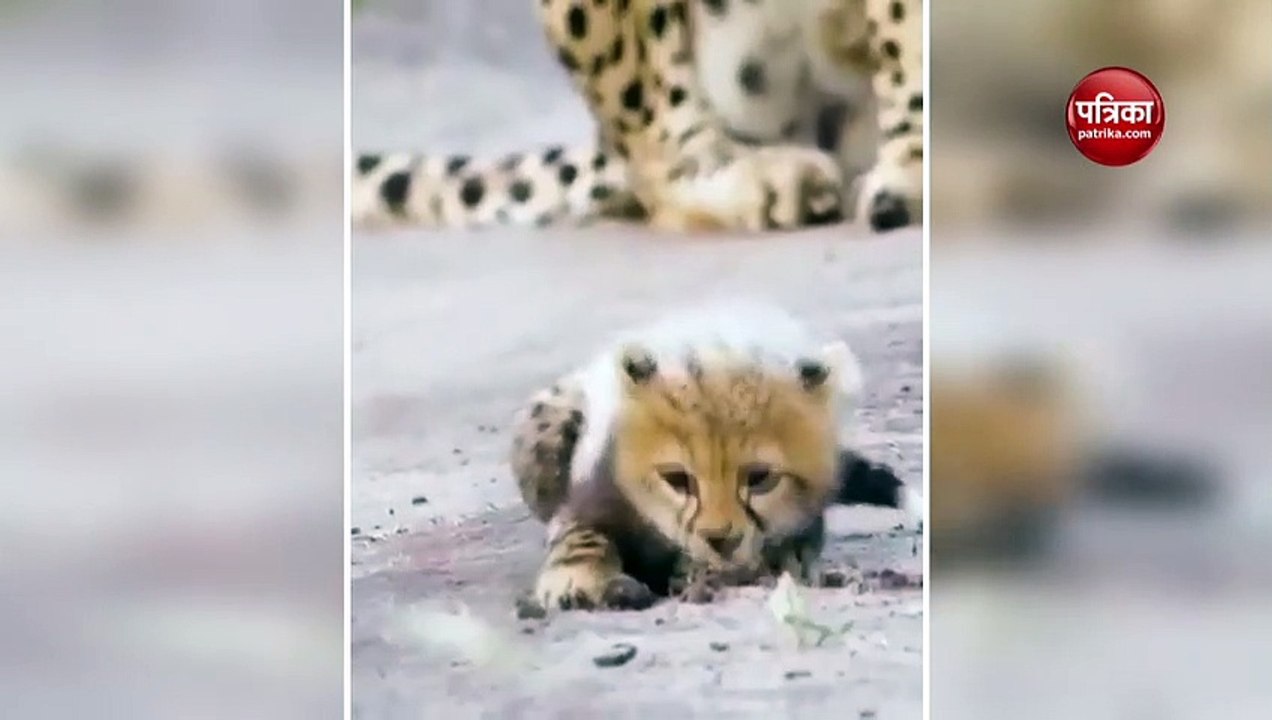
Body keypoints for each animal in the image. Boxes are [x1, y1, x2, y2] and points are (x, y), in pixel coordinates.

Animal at [506, 299, 924, 613]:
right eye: (677, 479)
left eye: (760, 478)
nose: (719, 540)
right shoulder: (592, 490)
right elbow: (580, 534)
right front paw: (583, 579)